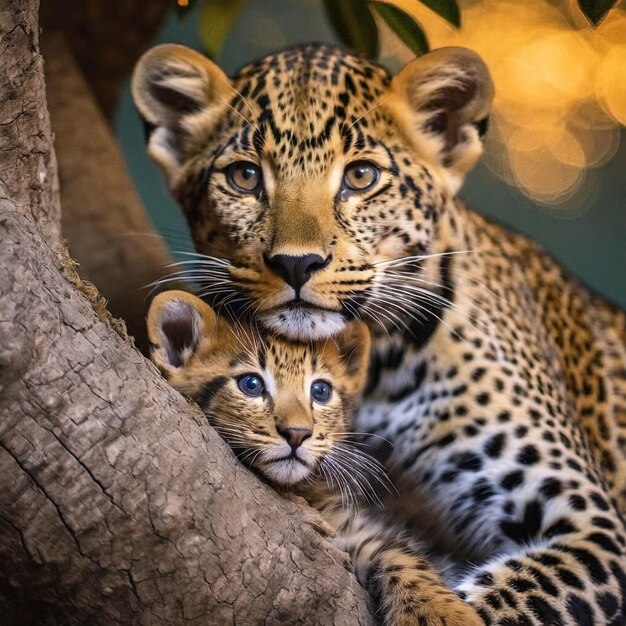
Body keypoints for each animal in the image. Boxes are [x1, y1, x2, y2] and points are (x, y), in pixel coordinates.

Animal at [133, 41, 624, 620]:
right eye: (245, 177)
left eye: (362, 176)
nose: (297, 263)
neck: (377, 369)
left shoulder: (594, 531)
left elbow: (491, 600)